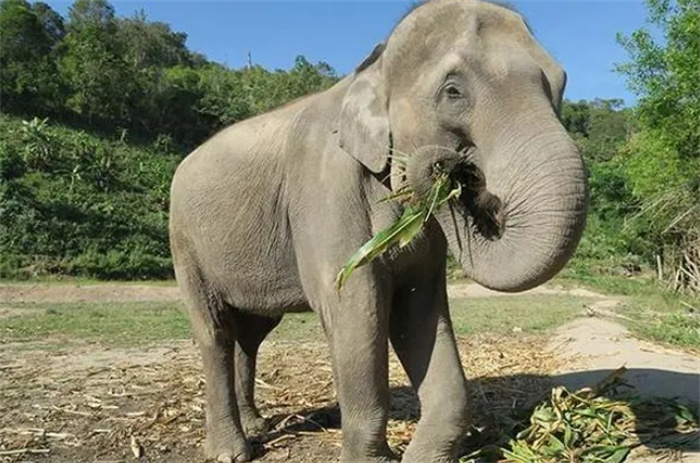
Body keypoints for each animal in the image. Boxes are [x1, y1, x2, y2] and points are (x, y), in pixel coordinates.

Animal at [167, 0, 588, 463]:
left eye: (560, 84)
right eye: (453, 92)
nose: (447, 168)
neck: (372, 67)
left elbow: (419, 311)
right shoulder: (325, 190)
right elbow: (355, 305)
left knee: (252, 334)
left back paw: (257, 426)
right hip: (184, 243)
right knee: (215, 331)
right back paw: (232, 450)